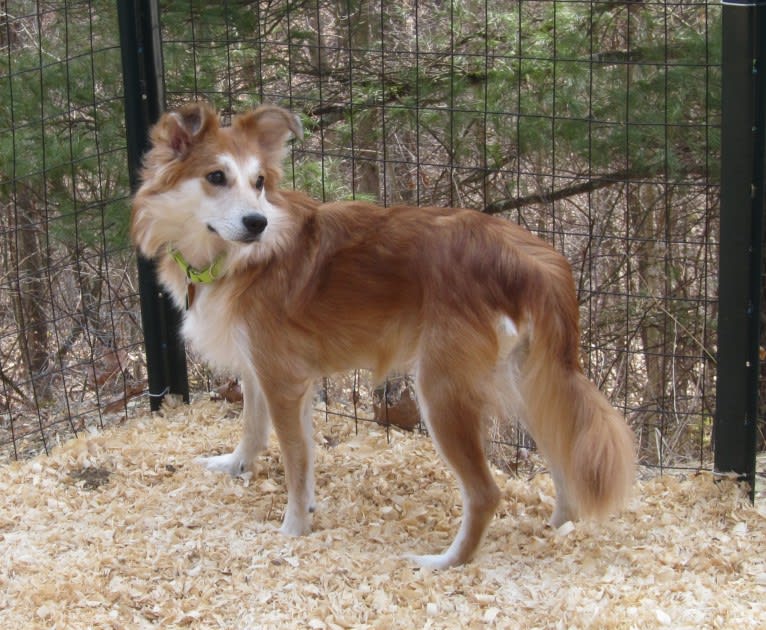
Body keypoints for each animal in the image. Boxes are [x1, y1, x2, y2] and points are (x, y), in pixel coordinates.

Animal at [130, 103, 636, 572]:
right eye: (216, 177)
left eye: (257, 182)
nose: (258, 223)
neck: (236, 259)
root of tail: (527, 254)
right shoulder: (263, 371)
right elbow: (256, 431)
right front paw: (236, 467)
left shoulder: (282, 381)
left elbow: (295, 460)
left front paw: (294, 528)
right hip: (528, 380)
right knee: (562, 457)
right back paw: (557, 528)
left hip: (443, 391)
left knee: (485, 493)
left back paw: (444, 562)